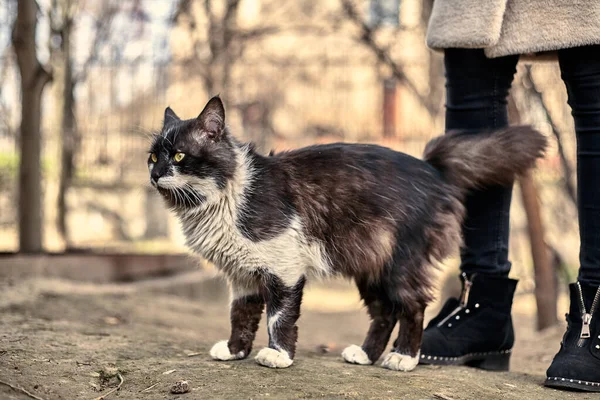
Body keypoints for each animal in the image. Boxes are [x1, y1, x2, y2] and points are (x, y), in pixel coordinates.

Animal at [148, 96, 548, 372]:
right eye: (152, 157)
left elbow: (279, 317)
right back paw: (366, 355)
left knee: (413, 307)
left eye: (180, 156)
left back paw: (404, 358)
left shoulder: (284, 267)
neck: (224, 197)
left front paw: (278, 356)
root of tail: (431, 168)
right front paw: (235, 351)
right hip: (371, 268)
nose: (154, 174)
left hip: (401, 265)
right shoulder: (243, 276)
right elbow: (241, 316)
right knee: (385, 313)